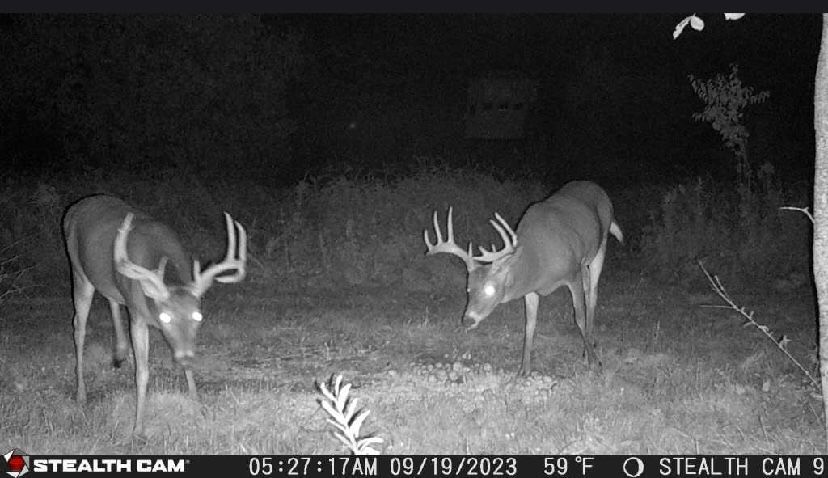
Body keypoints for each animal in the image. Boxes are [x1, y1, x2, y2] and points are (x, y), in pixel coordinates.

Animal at [62, 194, 247, 438]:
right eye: (165, 317)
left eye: (198, 316)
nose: (185, 357)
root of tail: (75, 207)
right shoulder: (138, 316)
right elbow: (142, 372)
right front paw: (138, 428)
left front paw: (198, 409)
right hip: (78, 271)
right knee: (78, 327)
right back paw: (81, 394)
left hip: (109, 282)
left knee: (112, 299)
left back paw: (120, 352)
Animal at [424, 181, 623, 375]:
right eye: (468, 289)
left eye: (490, 289)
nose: (467, 320)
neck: (539, 262)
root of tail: (597, 187)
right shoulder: (531, 289)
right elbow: (529, 324)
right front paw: (523, 370)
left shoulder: (573, 274)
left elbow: (579, 318)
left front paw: (594, 363)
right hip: (585, 265)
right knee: (589, 290)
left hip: (600, 246)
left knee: (593, 295)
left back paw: (589, 349)